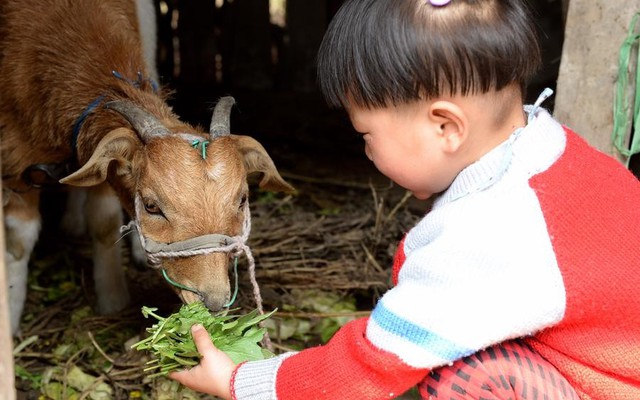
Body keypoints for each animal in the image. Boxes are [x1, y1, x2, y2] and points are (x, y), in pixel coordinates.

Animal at [0, 0, 296, 334]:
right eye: (152, 206)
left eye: (242, 200)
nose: (214, 302)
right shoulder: (15, 152)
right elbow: (19, 241)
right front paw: (10, 316)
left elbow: (104, 221)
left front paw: (112, 297)